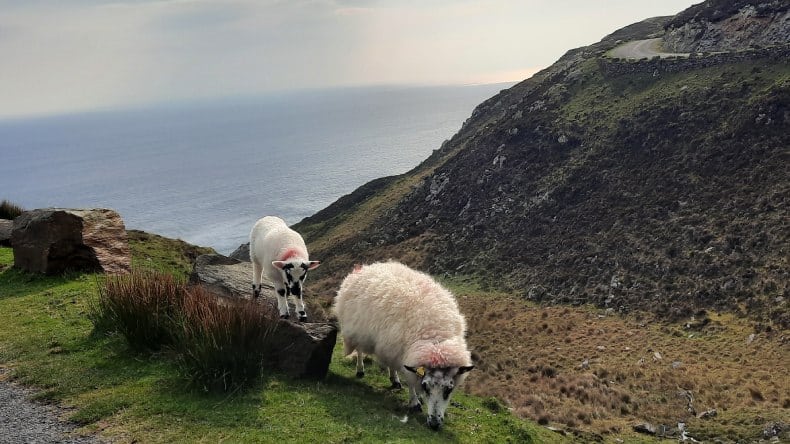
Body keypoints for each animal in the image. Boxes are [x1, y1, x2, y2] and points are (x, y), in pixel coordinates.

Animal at [333, 261, 474, 430]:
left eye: (449, 389)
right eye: (426, 387)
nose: (434, 424)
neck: (436, 341)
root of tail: (366, 267)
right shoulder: (408, 357)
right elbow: (411, 382)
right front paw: (414, 402)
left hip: (390, 343)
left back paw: (394, 380)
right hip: (360, 329)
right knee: (360, 350)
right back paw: (360, 370)